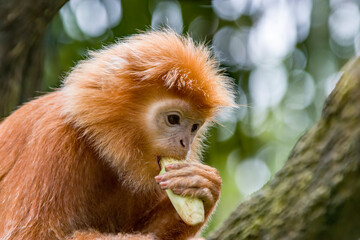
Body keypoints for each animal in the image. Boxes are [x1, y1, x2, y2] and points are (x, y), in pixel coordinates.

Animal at [0, 30, 233, 240]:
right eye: (173, 119)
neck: (100, 147)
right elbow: (28, 235)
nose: (185, 143)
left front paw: (203, 186)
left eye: (194, 127)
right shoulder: (54, 140)